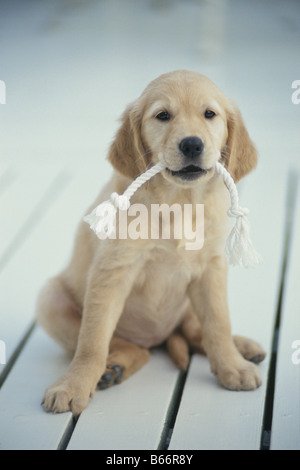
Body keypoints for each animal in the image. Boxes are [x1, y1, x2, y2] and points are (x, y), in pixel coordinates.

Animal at [37, 70, 264, 414]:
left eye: (209, 114)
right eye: (163, 116)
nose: (192, 144)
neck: (179, 202)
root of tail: (157, 338)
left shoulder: (211, 269)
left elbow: (218, 323)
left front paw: (232, 366)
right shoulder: (112, 271)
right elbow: (92, 341)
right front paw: (73, 385)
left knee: (194, 331)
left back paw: (244, 348)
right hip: (50, 299)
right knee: (129, 347)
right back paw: (113, 368)